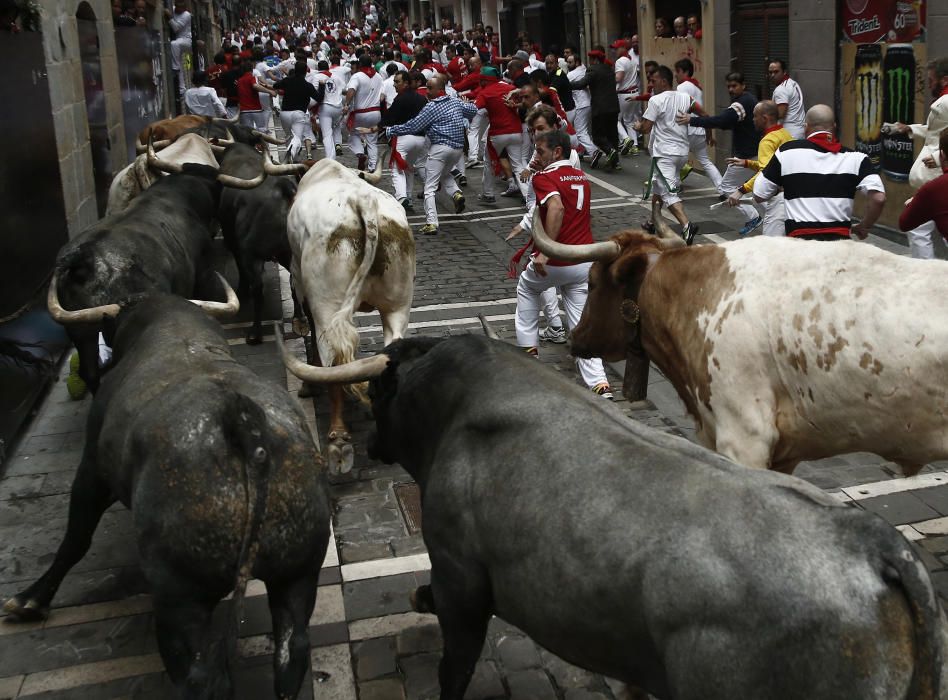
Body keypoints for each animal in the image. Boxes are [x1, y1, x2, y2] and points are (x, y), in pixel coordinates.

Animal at [4, 296, 330, 700]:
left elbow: (75, 540)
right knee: (291, 651)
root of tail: (242, 425)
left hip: (180, 596)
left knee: (199, 677)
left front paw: (30, 599)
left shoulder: (92, 469)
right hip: (298, 569)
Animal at [280, 157, 416, 476]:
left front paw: (308, 385)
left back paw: (339, 439)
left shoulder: (298, 278)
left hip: (328, 305)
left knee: (334, 359)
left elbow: (309, 330)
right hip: (398, 304)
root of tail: (361, 202)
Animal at [362, 334, 940, 700]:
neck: (450, 411)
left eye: (373, 392)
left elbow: (452, 667)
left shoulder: (458, 576)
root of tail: (873, 542)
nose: (370, 446)